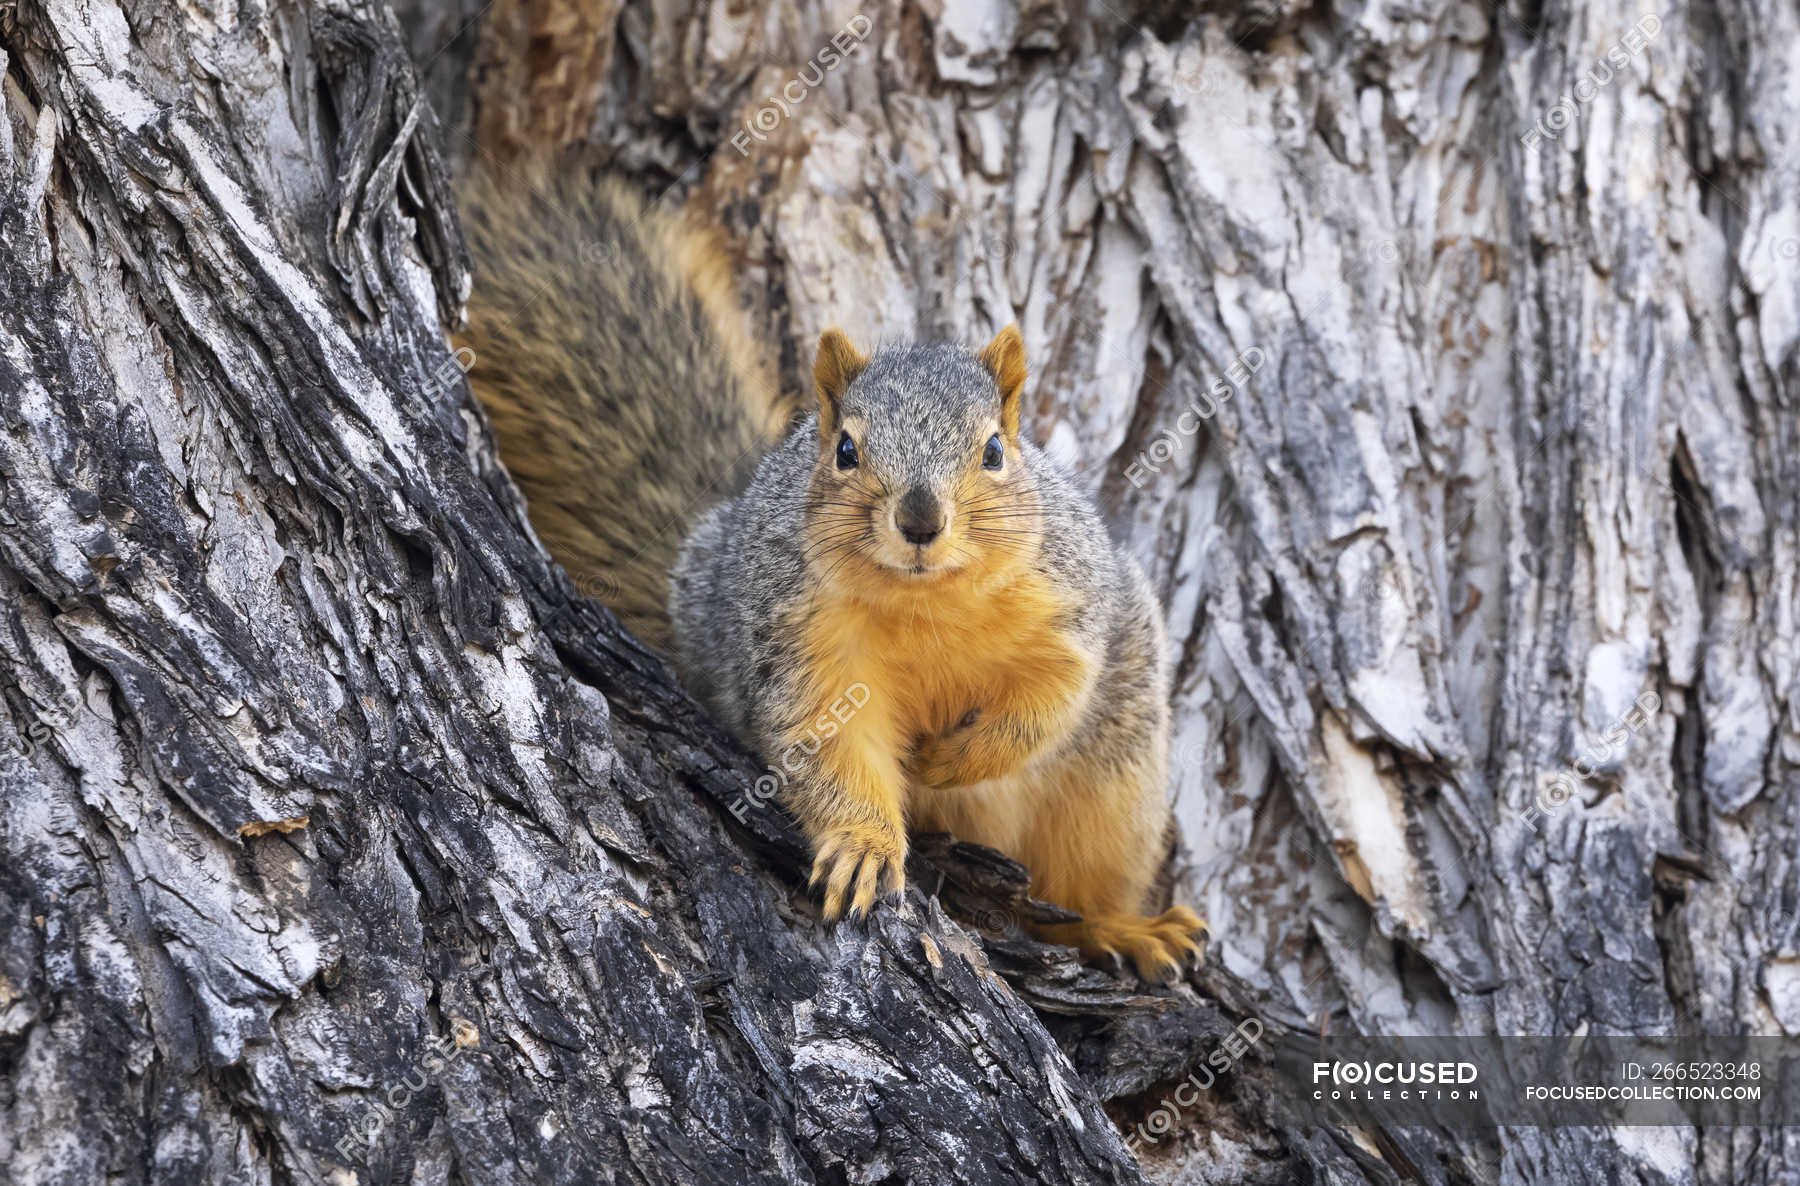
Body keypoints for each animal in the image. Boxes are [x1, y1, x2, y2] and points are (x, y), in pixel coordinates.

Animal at [457, 167, 1202, 986]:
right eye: (845, 449)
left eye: (995, 451)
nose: (920, 520)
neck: (925, 602)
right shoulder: (801, 642)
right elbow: (829, 747)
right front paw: (865, 847)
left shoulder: (1069, 603)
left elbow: (1049, 702)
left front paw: (948, 759)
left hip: (1114, 789)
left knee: (1082, 887)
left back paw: (1125, 929)